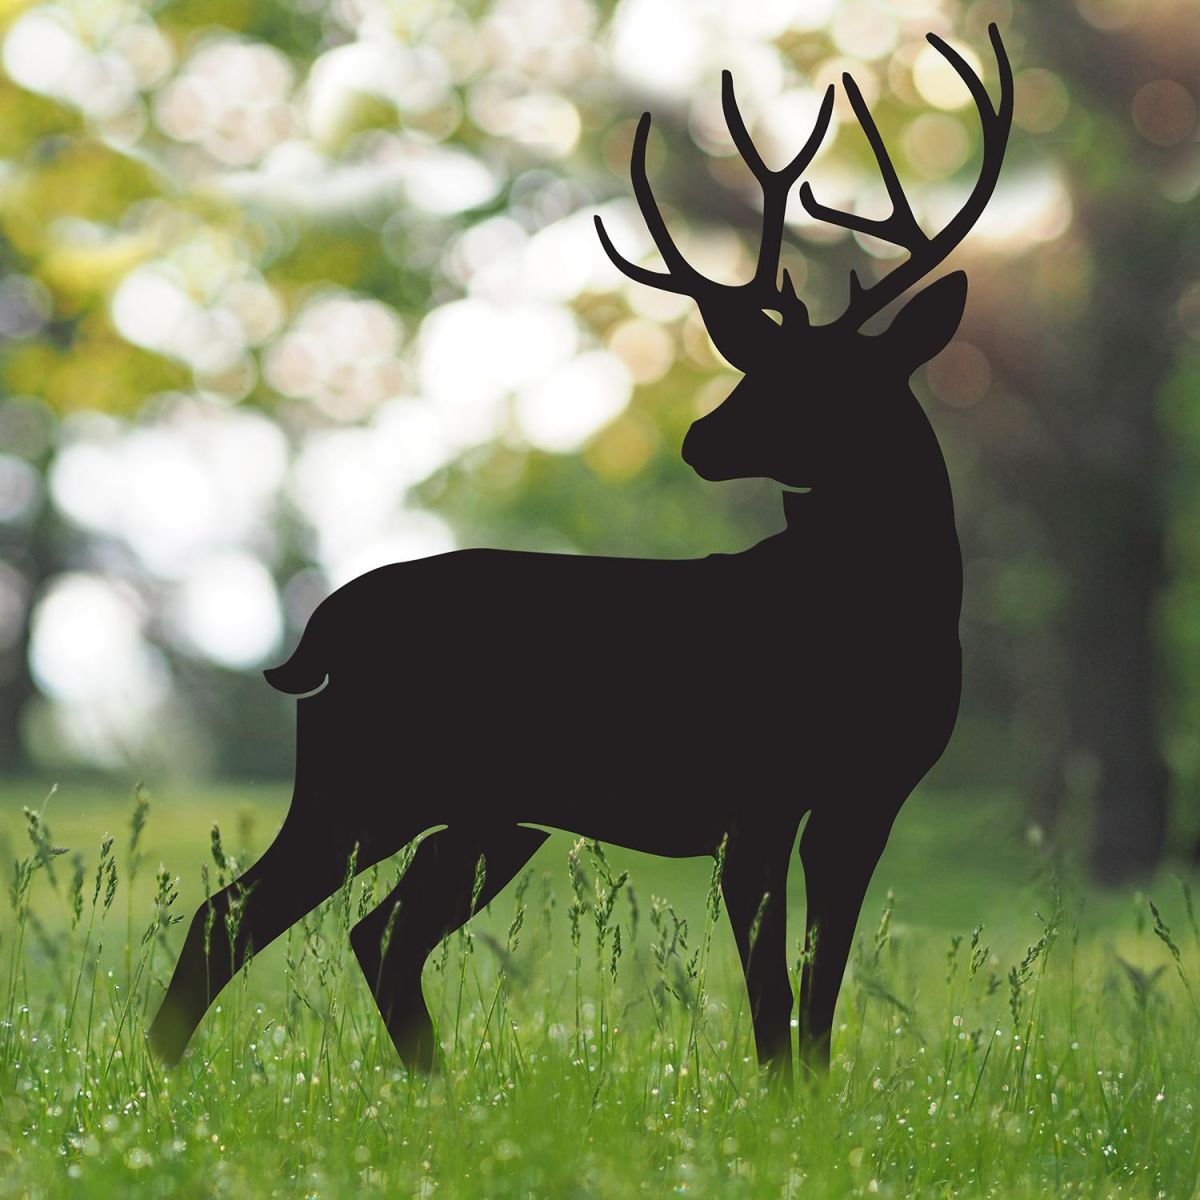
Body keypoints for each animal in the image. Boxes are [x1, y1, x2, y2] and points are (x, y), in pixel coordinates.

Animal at [149, 24, 1013, 1084]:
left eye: (823, 379)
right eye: (756, 366)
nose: (699, 439)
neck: (877, 621)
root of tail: (318, 637)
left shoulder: (870, 799)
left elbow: (820, 995)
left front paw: (813, 1103)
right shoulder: (754, 796)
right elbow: (771, 1001)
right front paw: (777, 1108)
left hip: (488, 813)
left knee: (379, 935)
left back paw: (436, 1092)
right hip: (365, 780)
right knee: (229, 916)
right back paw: (161, 1086)